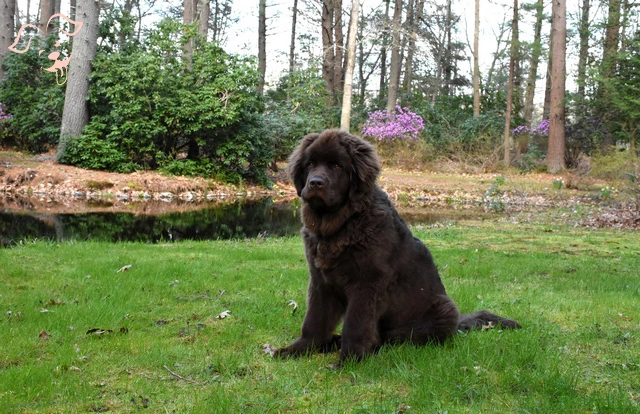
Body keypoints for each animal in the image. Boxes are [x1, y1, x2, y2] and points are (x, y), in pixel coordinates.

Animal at [276, 130, 520, 362]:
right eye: (310, 164)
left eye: (337, 165)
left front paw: (350, 360)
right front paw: (299, 349)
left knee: (390, 338)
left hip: (443, 310)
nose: (315, 182)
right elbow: (314, 321)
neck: (342, 224)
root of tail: (458, 321)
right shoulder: (320, 280)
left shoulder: (368, 283)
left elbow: (356, 325)